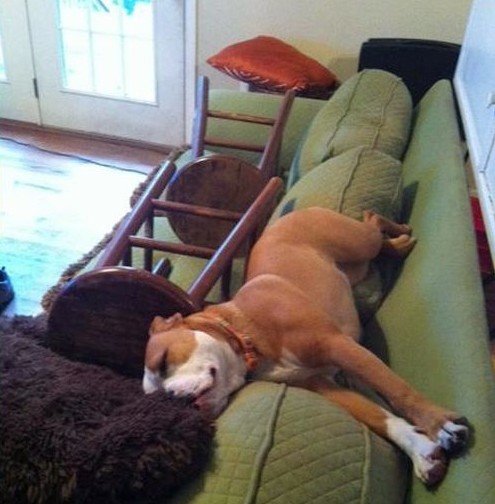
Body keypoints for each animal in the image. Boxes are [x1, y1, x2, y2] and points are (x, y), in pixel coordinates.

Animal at [142, 207, 468, 486]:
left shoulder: (337, 345)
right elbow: (380, 416)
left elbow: (398, 391)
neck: (245, 334)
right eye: (156, 396)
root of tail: (291, 214)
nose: (173, 398)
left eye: (163, 360)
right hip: (357, 267)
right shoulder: (325, 385)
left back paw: (401, 237)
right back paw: (397, 245)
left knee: (373, 220)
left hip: (359, 243)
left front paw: (440, 425)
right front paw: (422, 452)